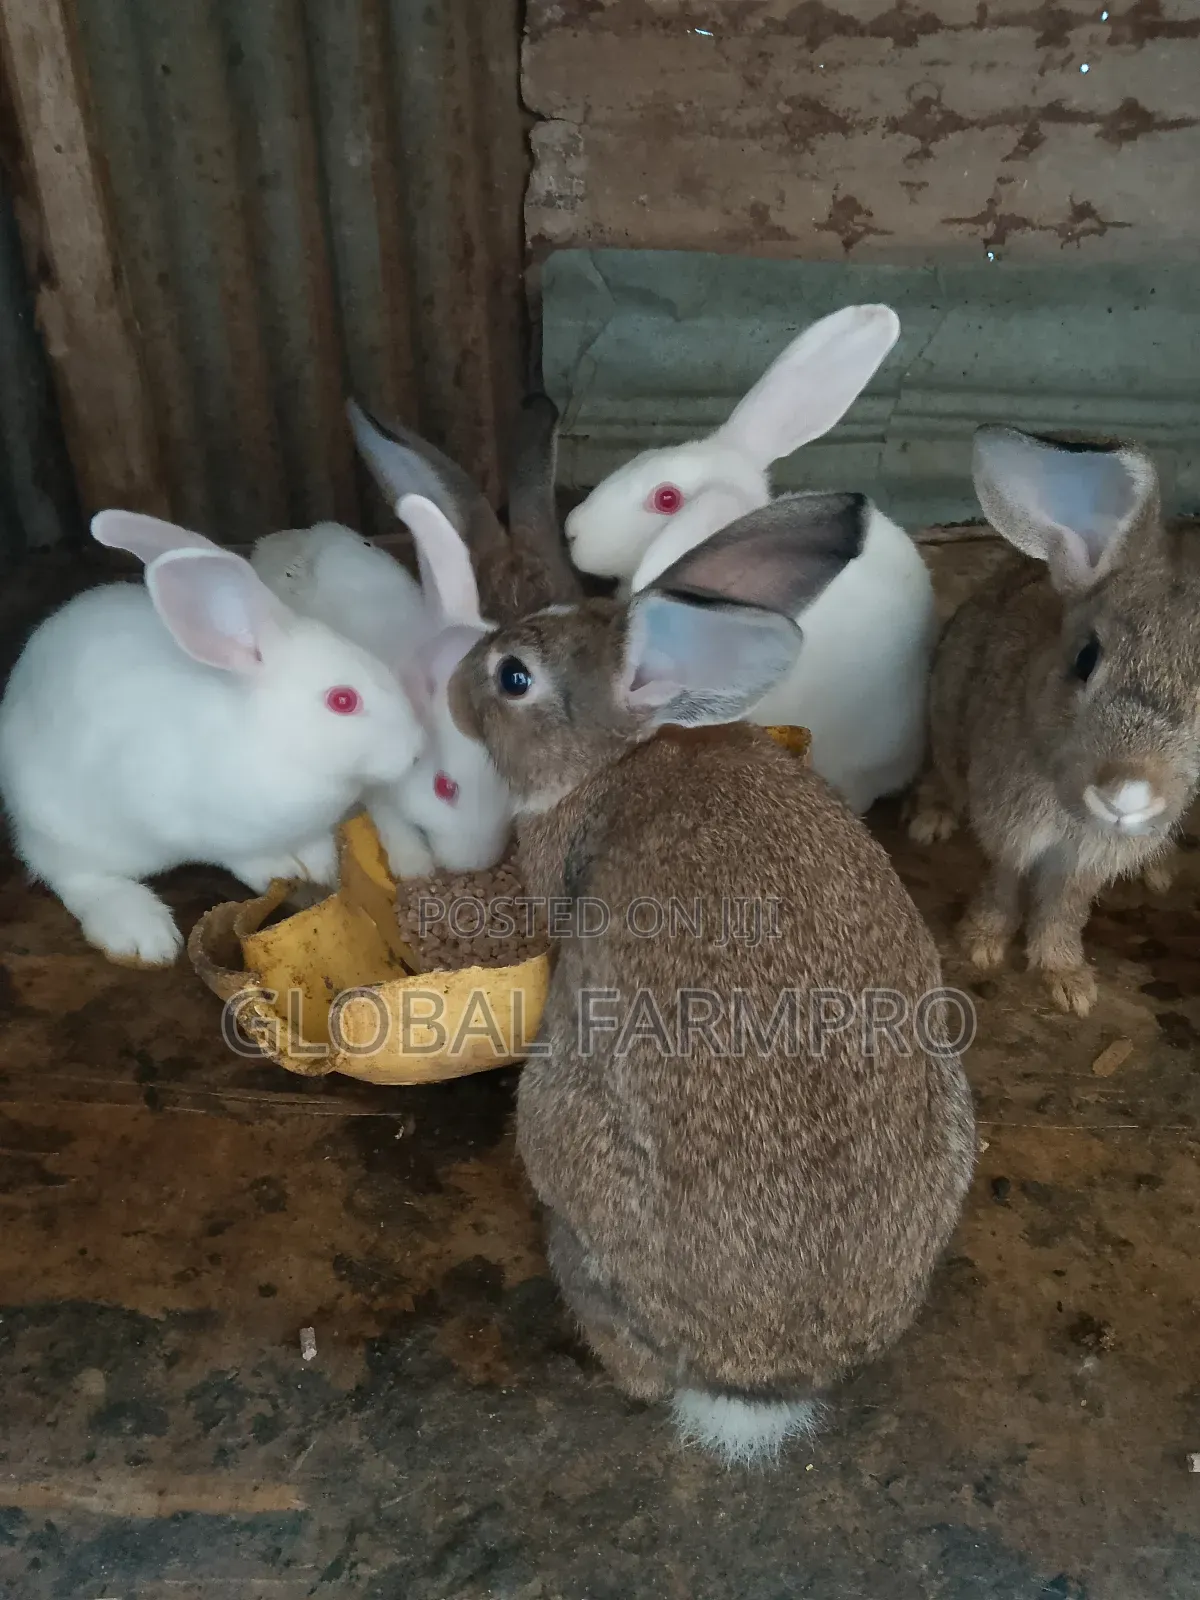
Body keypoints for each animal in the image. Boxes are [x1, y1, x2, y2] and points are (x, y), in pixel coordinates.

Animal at [0, 512, 425, 966]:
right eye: (342, 700)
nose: (417, 750)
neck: (273, 737)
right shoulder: (182, 819)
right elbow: (235, 854)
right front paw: (280, 867)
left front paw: (320, 863)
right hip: (61, 825)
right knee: (75, 875)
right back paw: (143, 934)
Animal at [907, 425, 1200, 1017]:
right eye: (1085, 658)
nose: (1128, 793)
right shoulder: (1009, 829)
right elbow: (1004, 884)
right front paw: (981, 945)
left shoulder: (1088, 864)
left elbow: (1065, 908)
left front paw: (1067, 980)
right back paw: (933, 819)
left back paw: (1160, 870)